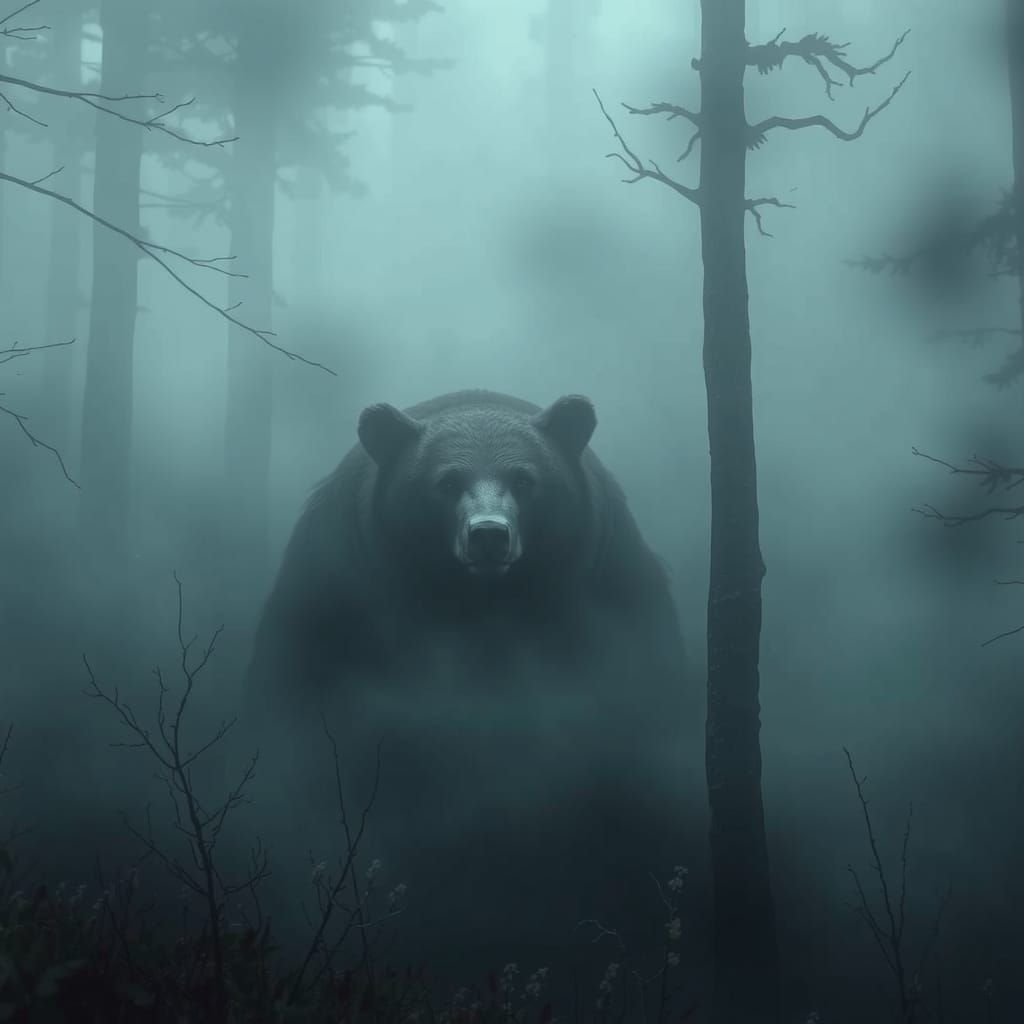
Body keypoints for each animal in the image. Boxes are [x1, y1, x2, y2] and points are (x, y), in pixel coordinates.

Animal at [241, 389, 700, 1000]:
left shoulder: (607, 594)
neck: (479, 609)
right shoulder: (339, 594)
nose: (488, 534)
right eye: (447, 480)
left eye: (524, 479)